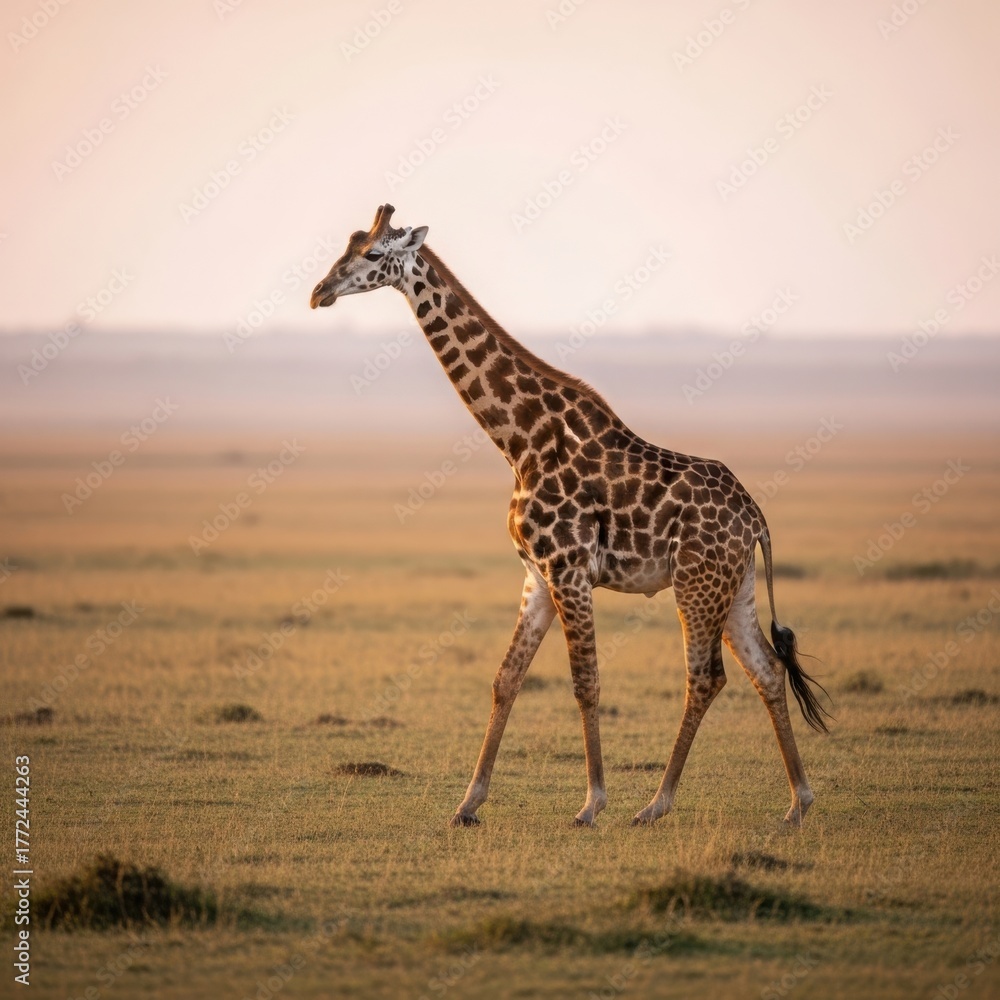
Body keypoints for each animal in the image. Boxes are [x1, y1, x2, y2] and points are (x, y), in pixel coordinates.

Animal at [310, 204, 830, 828]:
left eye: (370, 253)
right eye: (345, 246)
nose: (319, 293)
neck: (520, 441)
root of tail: (755, 517)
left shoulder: (570, 570)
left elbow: (586, 682)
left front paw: (591, 803)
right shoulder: (536, 574)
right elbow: (505, 679)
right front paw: (468, 803)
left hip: (696, 584)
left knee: (706, 678)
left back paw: (656, 803)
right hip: (736, 586)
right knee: (767, 672)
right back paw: (798, 802)